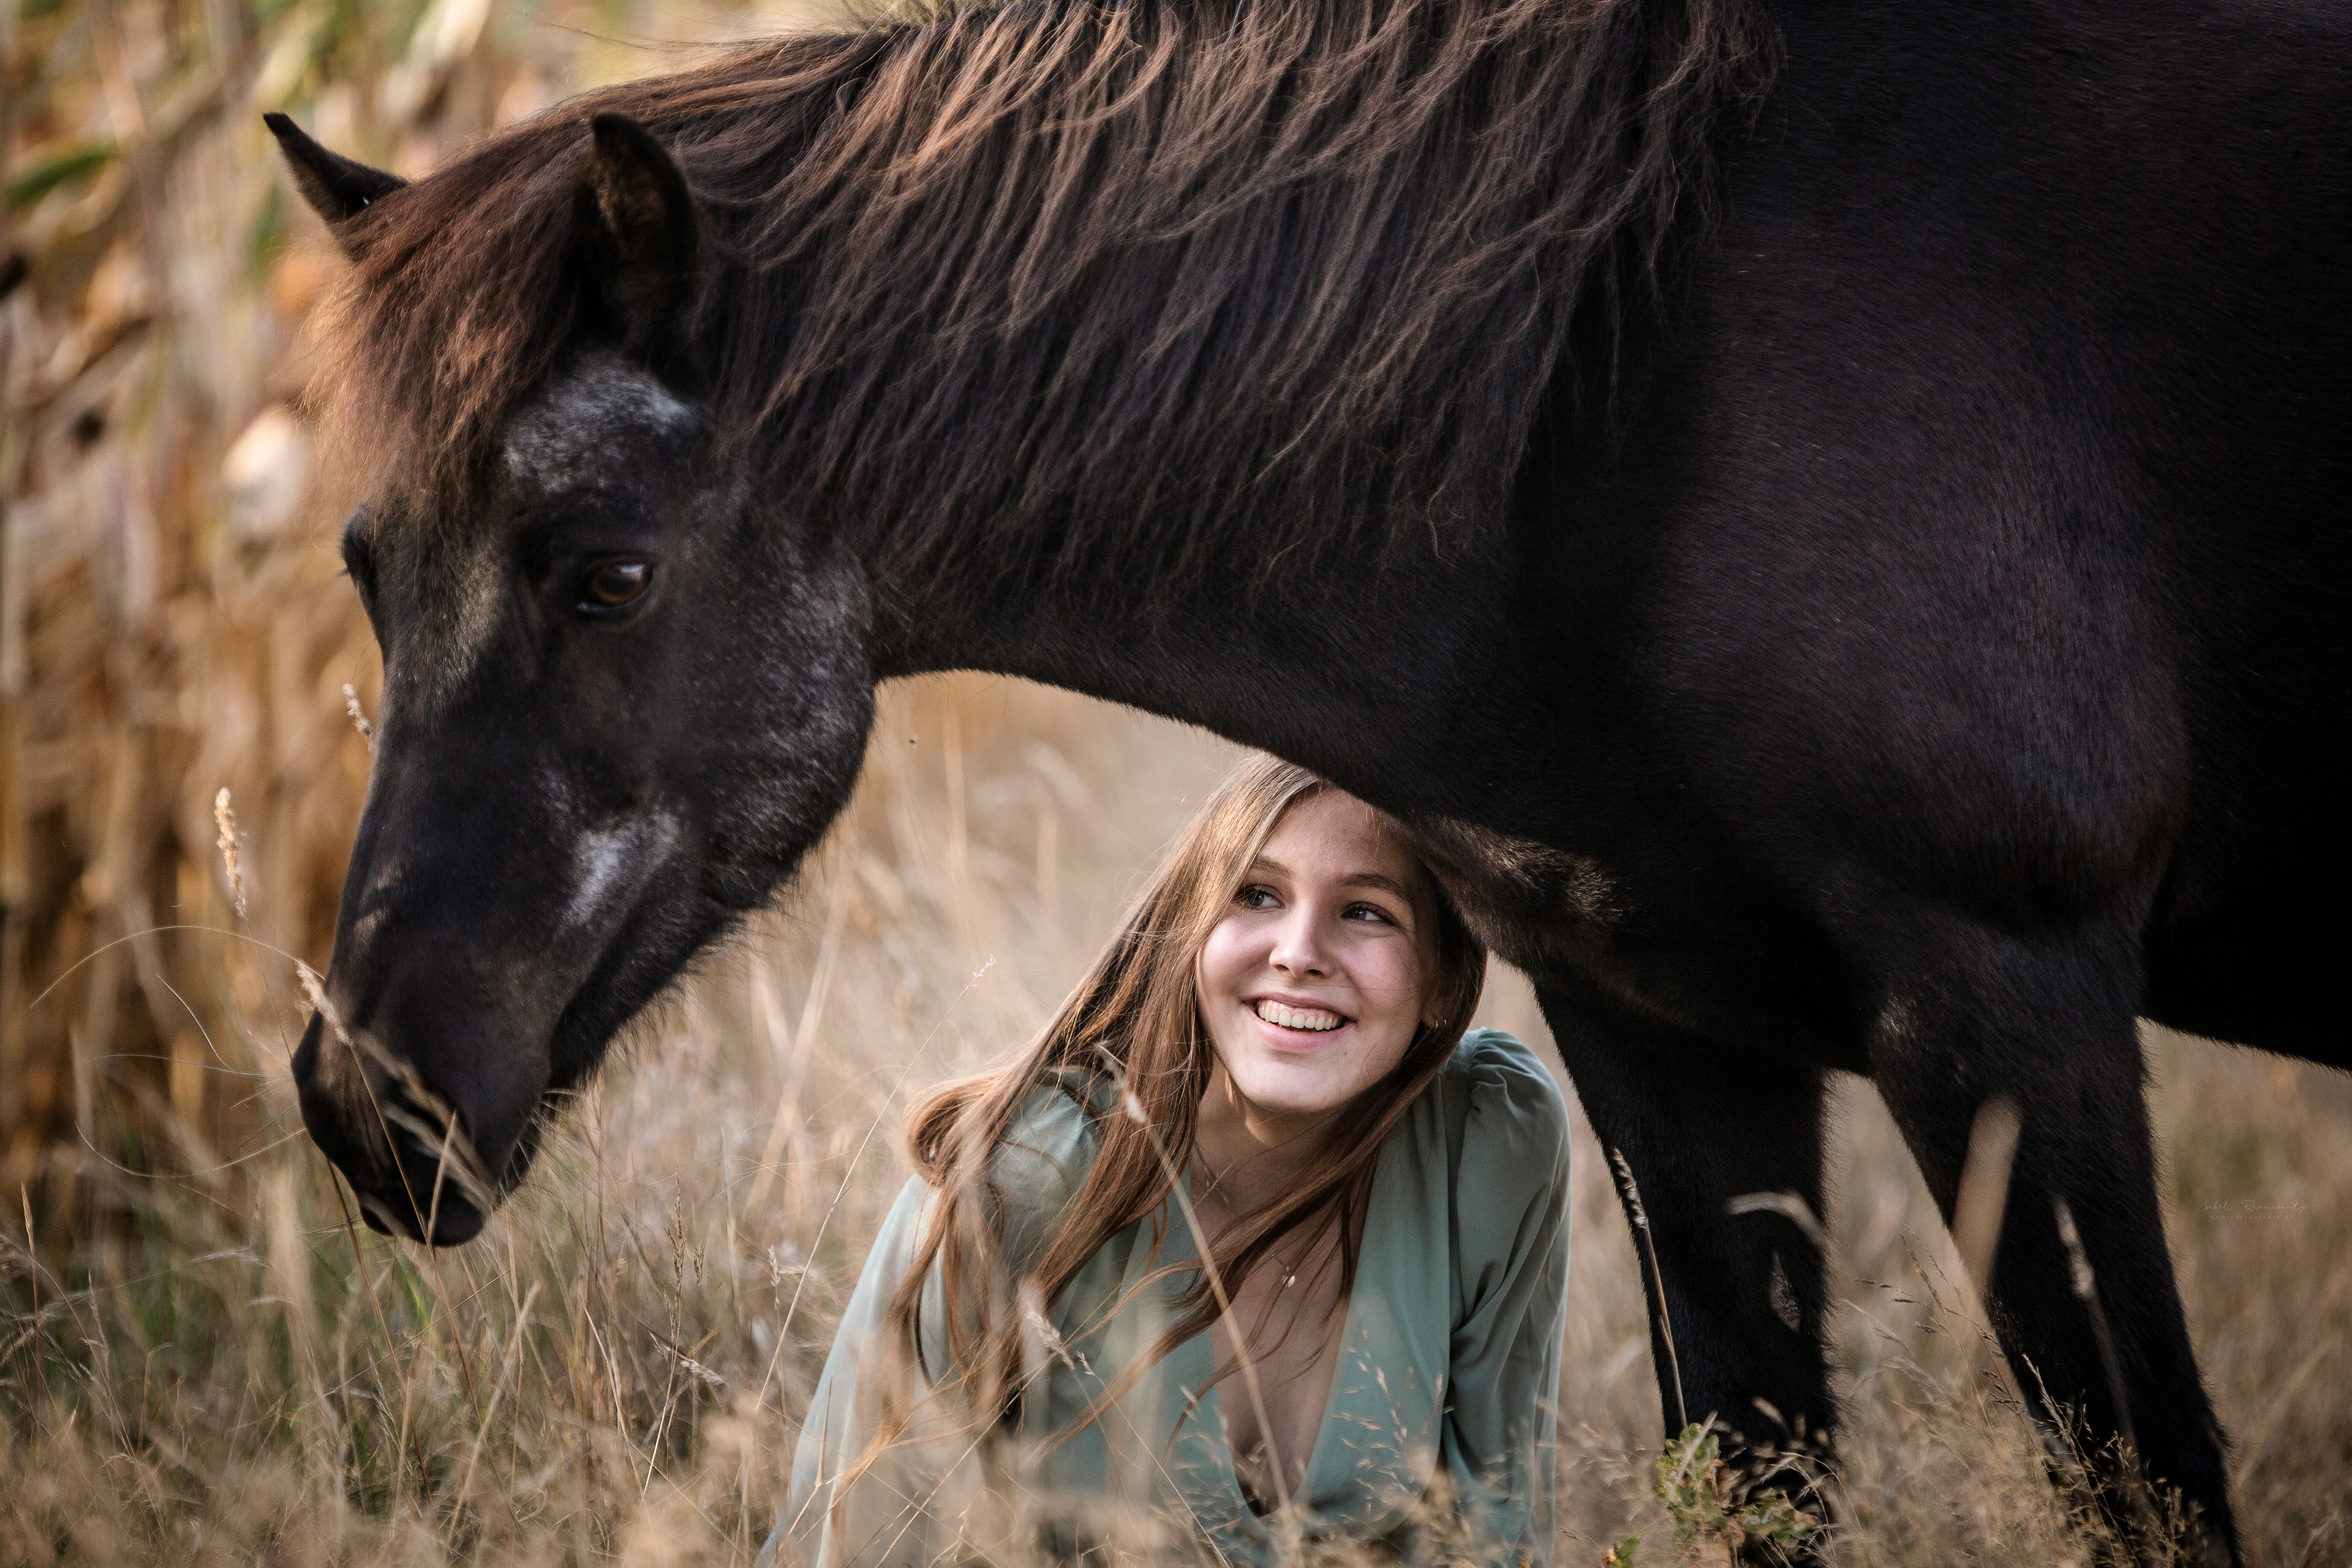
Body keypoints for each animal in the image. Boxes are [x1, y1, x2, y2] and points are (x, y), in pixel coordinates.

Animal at [270, 0, 2348, 1557]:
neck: (1645, 359)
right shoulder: (1668, 1038)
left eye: (607, 575)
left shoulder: (2006, 1004)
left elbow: (2146, 1488)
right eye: (365, 571)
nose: (368, 1100)